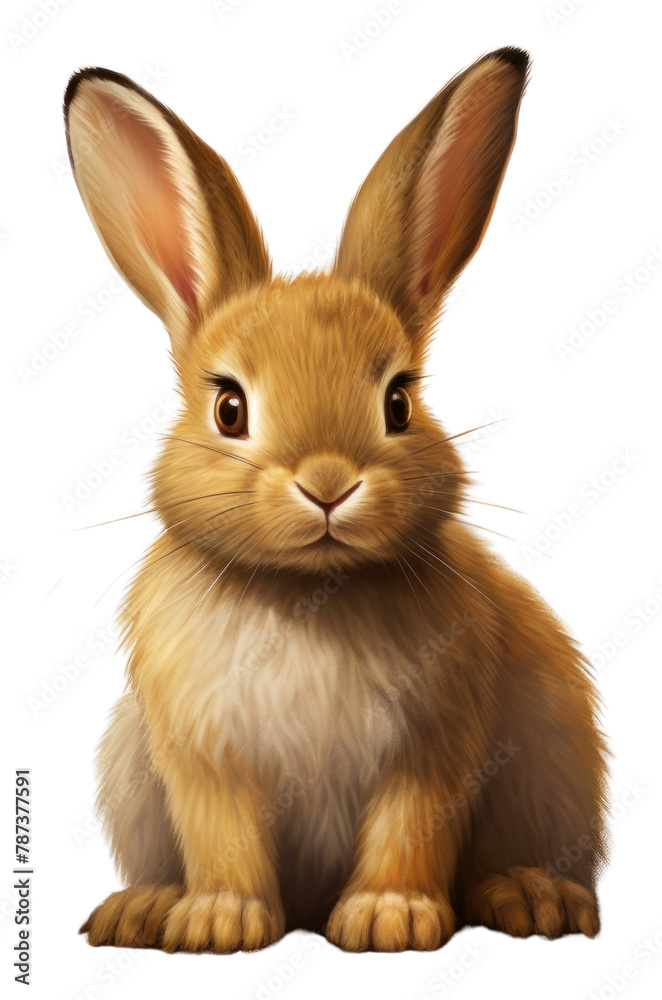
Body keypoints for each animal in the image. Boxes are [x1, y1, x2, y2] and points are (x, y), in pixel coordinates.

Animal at [66, 47, 609, 953]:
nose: (327, 484)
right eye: (230, 408)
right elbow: (223, 838)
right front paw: (220, 922)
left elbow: (410, 825)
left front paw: (392, 918)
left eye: (398, 402)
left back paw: (533, 897)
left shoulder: (434, 744)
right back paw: (142, 908)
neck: (309, 593)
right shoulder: (203, 759)